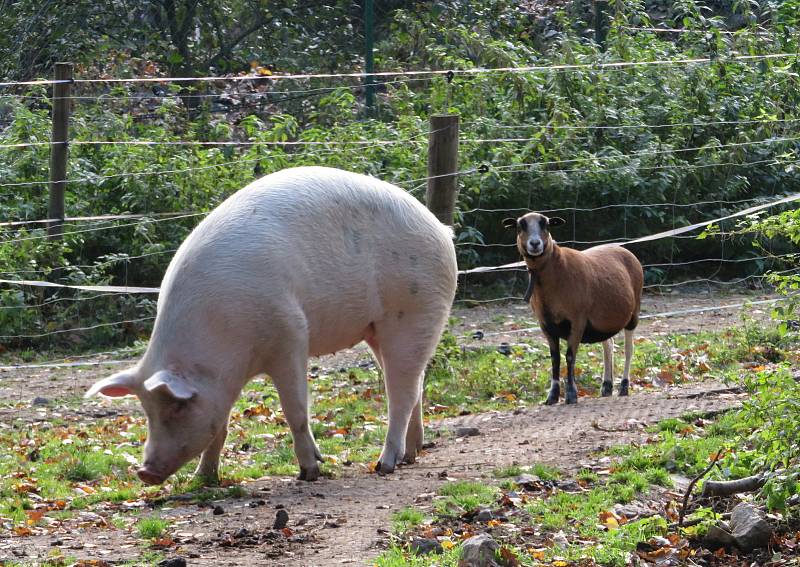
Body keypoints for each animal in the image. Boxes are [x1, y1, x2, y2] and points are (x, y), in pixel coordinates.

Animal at [86, 166, 456, 486]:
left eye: (177, 406)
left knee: (401, 393)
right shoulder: (225, 381)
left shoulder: (290, 335)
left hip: (415, 311)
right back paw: (411, 454)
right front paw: (202, 479)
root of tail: (441, 229)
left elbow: (296, 411)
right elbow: (220, 424)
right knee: (415, 385)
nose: (144, 472)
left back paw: (385, 465)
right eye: (146, 409)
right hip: (377, 329)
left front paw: (310, 472)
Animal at [504, 212, 648, 404]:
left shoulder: (577, 320)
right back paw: (606, 387)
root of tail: (625, 251)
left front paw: (571, 394)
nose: (535, 244)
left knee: (628, 350)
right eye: (521, 226)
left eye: (546, 225)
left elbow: (570, 356)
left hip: (633, 314)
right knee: (608, 345)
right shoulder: (546, 324)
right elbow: (555, 359)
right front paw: (552, 396)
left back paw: (624, 387)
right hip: (603, 322)